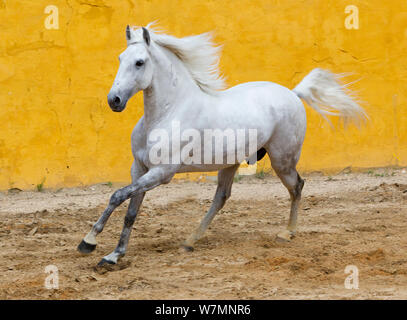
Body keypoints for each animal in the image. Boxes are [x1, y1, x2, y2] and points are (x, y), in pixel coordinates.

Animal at [77, 23, 366, 266]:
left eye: (139, 62)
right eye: (120, 59)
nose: (114, 100)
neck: (167, 113)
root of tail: (293, 94)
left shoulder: (161, 173)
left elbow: (117, 196)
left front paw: (89, 242)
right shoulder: (140, 169)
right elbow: (130, 210)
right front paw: (113, 255)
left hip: (282, 160)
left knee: (297, 186)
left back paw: (287, 233)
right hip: (231, 163)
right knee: (222, 197)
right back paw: (190, 240)